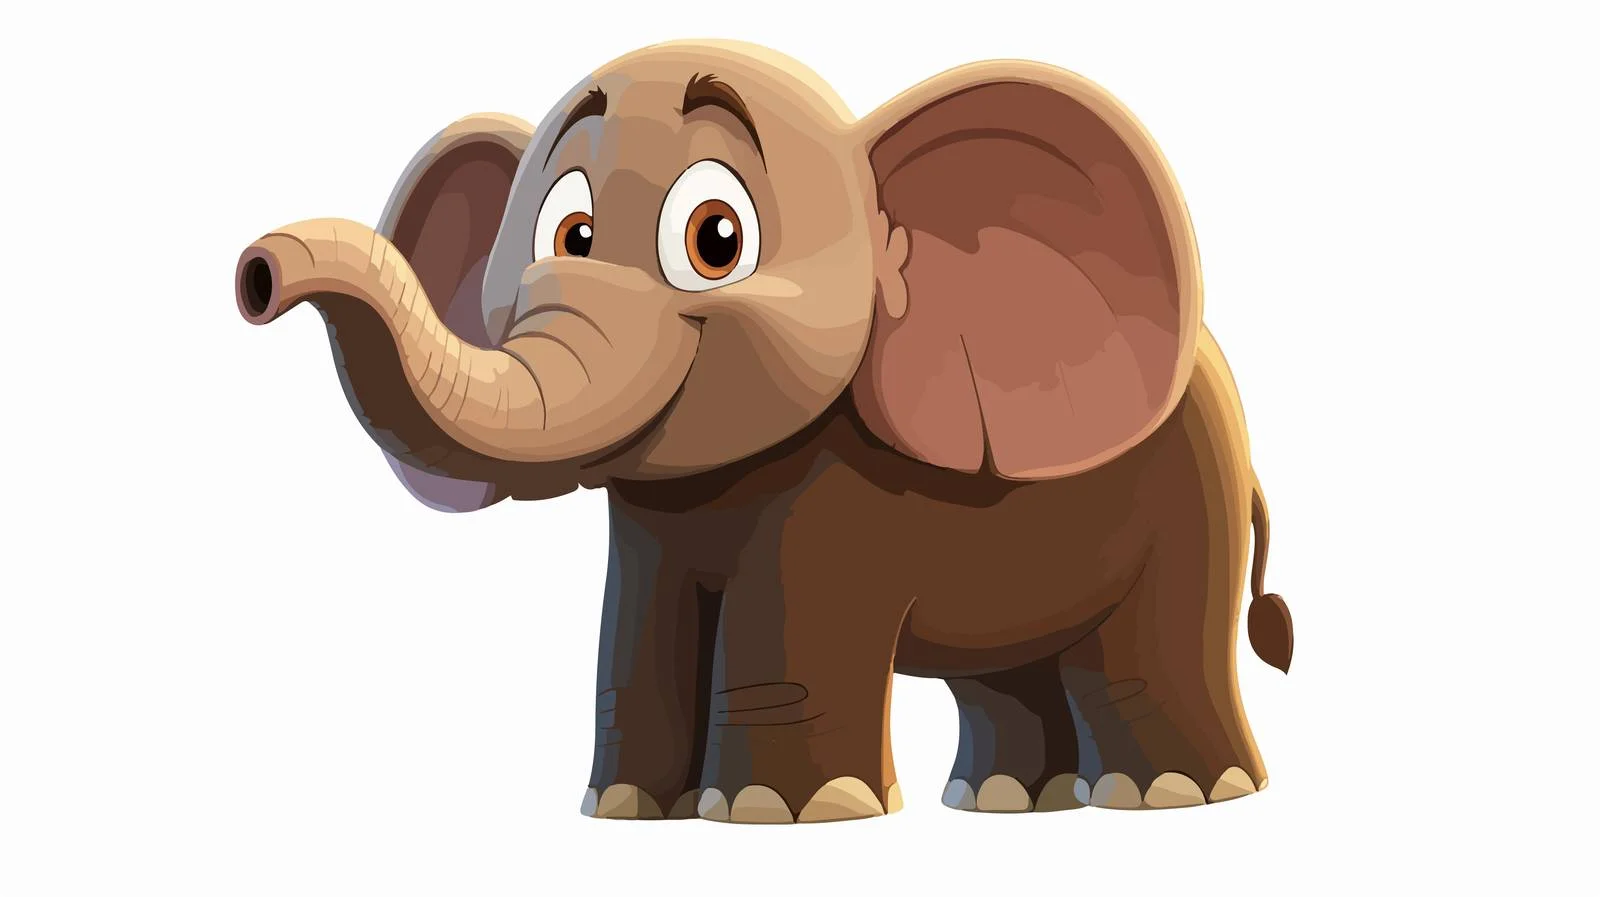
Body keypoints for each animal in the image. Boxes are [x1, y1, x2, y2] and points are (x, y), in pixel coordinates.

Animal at [233, 39, 1294, 824]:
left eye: (715, 238)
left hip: (1189, 509)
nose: (257, 275)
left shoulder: (836, 487)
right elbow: (636, 632)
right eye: (567, 236)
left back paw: (1179, 794)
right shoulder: (652, 530)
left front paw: (784, 813)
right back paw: (1000, 799)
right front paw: (625, 811)